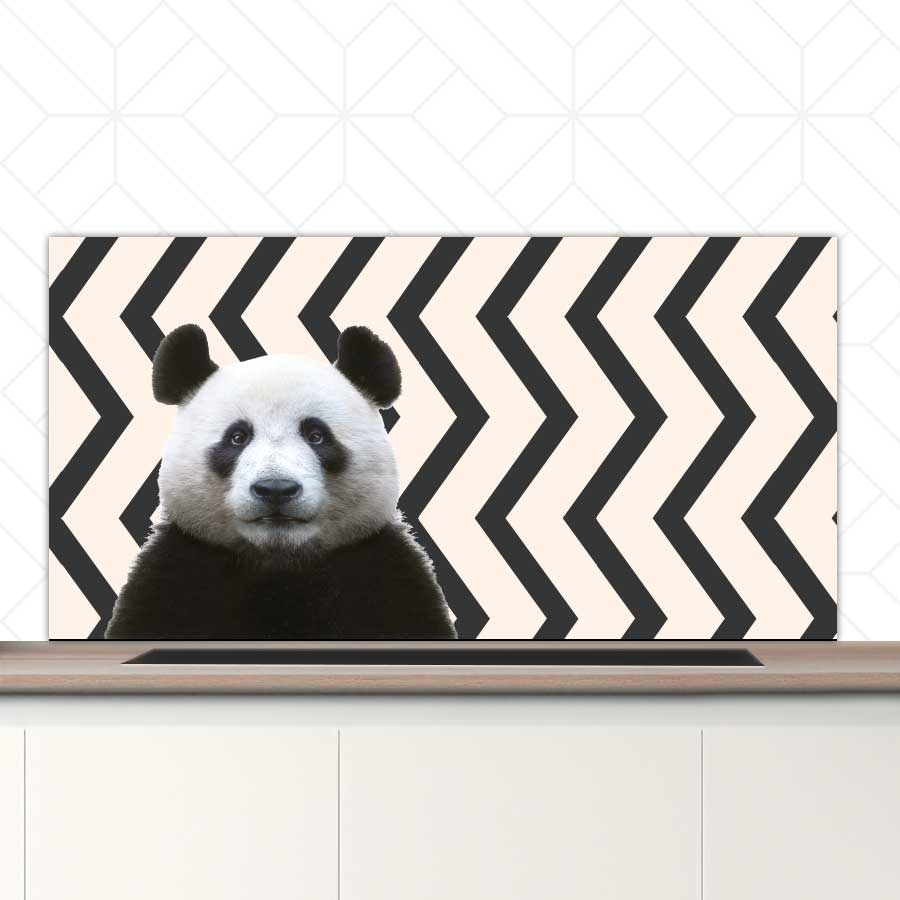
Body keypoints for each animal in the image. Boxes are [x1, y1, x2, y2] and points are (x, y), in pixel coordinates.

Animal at [105, 323, 457, 640]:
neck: (279, 564)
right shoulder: (177, 573)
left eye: (316, 435)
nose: (275, 489)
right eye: (237, 437)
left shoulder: (382, 574)